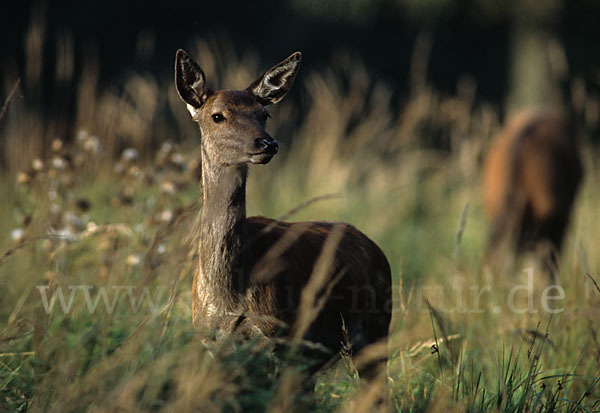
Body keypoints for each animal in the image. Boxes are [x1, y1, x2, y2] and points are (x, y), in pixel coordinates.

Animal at [173, 50, 392, 388]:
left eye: (264, 115)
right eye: (217, 116)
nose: (267, 143)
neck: (228, 297)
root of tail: (376, 249)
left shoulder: (280, 338)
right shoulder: (211, 340)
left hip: (375, 329)